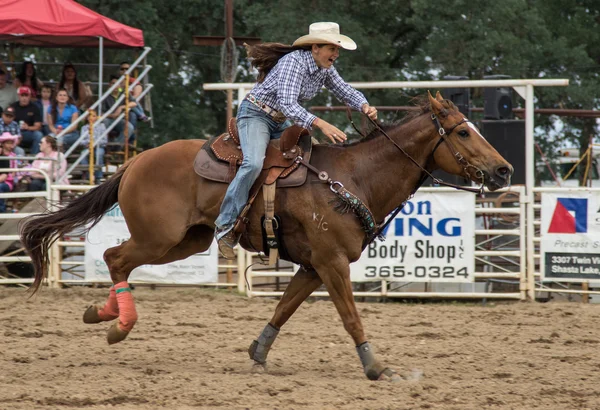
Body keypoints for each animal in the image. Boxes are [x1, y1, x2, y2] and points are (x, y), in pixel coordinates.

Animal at [21, 92, 512, 382]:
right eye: (463, 131)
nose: (505, 170)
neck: (354, 176)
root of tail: (135, 161)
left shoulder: (314, 266)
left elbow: (284, 307)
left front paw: (258, 352)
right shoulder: (332, 263)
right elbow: (350, 316)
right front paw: (375, 366)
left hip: (187, 241)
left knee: (117, 258)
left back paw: (98, 314)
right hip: (159, 238)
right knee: (115, 257)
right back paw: (117, 325)